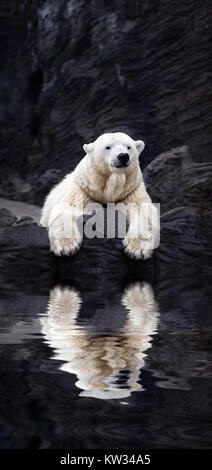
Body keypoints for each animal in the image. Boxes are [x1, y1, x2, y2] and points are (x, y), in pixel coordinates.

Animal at [40, 131, 159, 260]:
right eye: (108, 147)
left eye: (128, 147)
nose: (123, 156)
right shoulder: (84, 190)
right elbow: (66, 208)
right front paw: (67, 246)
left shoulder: (131, 191)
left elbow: (142, 210)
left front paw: (137, 249)